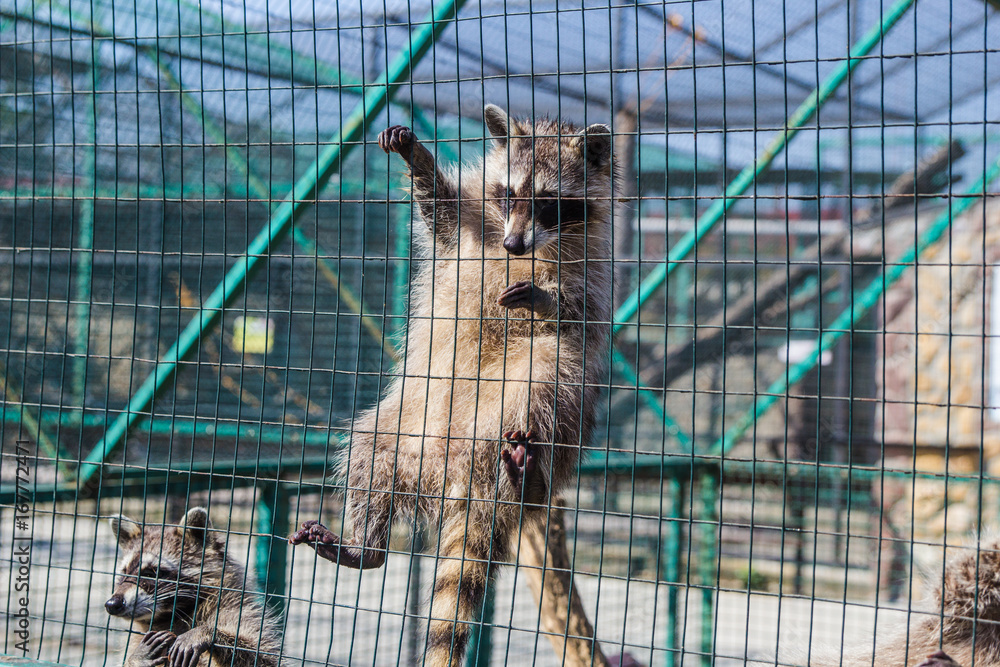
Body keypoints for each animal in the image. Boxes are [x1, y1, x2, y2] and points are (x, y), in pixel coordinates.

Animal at [105, 507, 281, 667]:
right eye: (124, 572)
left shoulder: (238, 611)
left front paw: (206, 631)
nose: (112, 604)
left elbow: (264, 658)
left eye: (151, 573)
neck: (173, 615)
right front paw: (135, 660)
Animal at [289, 104, 616, 666]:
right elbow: (439, 211)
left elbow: (580, 319)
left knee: (550, 374)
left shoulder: (594, 275)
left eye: (549, 202)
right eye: (509, 194)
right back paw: (364, 546)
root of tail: (466, 473)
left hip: (535, 403)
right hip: (411, 424)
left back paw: (528, 476)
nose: (513, 245)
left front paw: (547, 298)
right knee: (369, 449)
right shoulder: (473, 230)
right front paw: (415, 154)